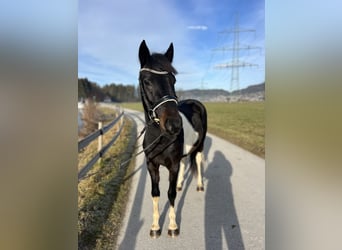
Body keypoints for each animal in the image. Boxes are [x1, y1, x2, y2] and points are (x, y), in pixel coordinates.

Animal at [138, 40, 207, 237]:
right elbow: (155, 193)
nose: (175, 125)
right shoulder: (152, 165)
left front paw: (173, 226)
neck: (159, 138)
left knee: (197, 160)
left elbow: (170, 194)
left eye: (173, 80)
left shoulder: (172, 165)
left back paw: (199, 185)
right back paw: (180, 184)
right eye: (147, 81)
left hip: (200, 144)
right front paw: (155, 227)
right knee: (185, 162)